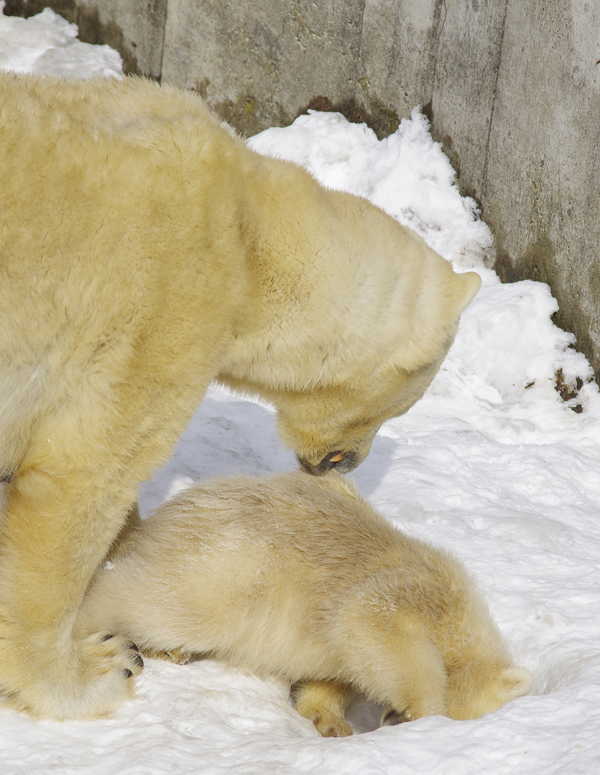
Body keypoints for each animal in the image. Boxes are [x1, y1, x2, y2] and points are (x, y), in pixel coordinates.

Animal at [0, 74, 480, 720]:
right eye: (405, 400)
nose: (347, 463)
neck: (252, 238)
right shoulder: (161, 310)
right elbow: (82, 478)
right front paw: (98, 670)